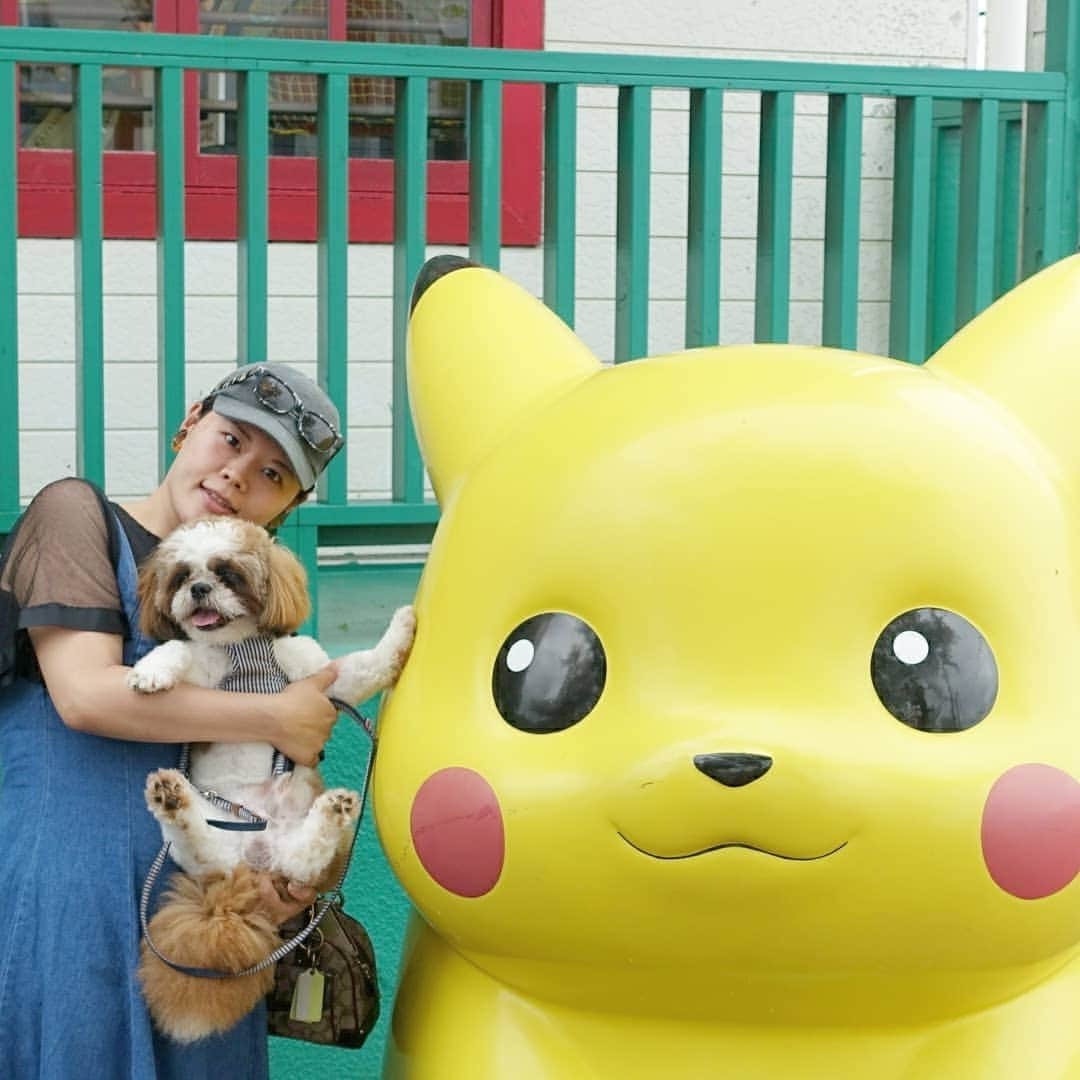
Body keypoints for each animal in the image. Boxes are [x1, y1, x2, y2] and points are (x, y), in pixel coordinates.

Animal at [124, 518, 414, 1041]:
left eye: (227, 573)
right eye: (181, 576)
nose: (199, 589)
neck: (243, 648)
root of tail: (253, 860)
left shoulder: (322, 675)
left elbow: (366, 664)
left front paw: (403, 624)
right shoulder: (204, 675)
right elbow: (176, 647)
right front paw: (149, 673)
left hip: (304, 858)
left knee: (305, 857)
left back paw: (332, 812)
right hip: (209, 834)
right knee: (199, 842)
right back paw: (171, 796)